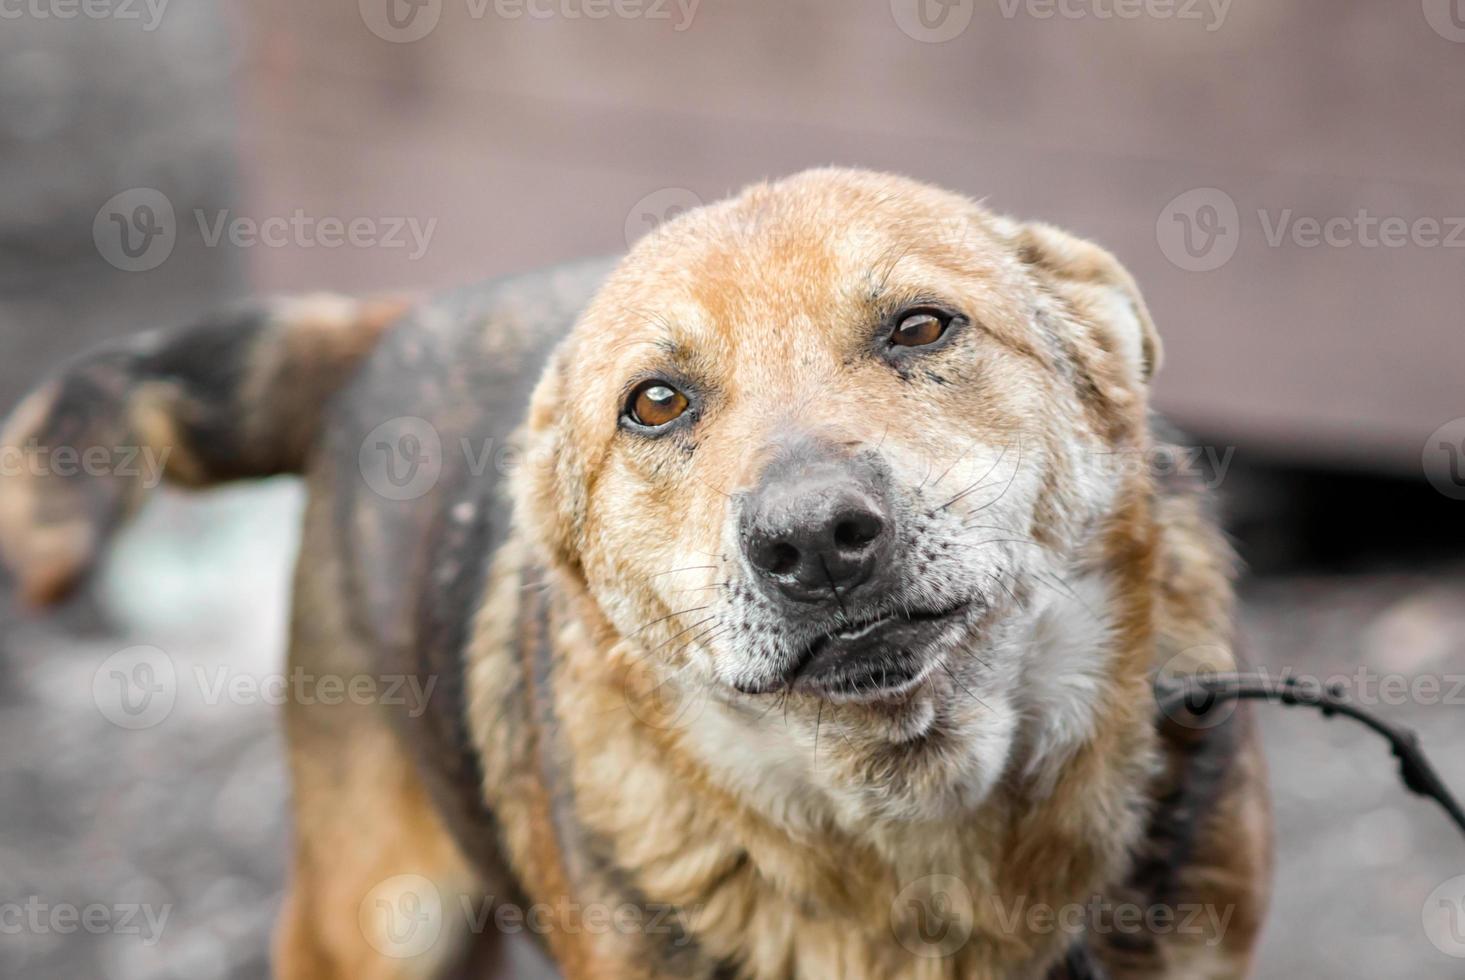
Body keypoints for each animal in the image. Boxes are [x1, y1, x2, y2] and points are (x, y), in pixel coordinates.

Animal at [2, 172, 1271, 972]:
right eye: (656, 403)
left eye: (921, 327)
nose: (813, 540)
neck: (914, 826)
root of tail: (392, 318)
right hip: (372, 920)